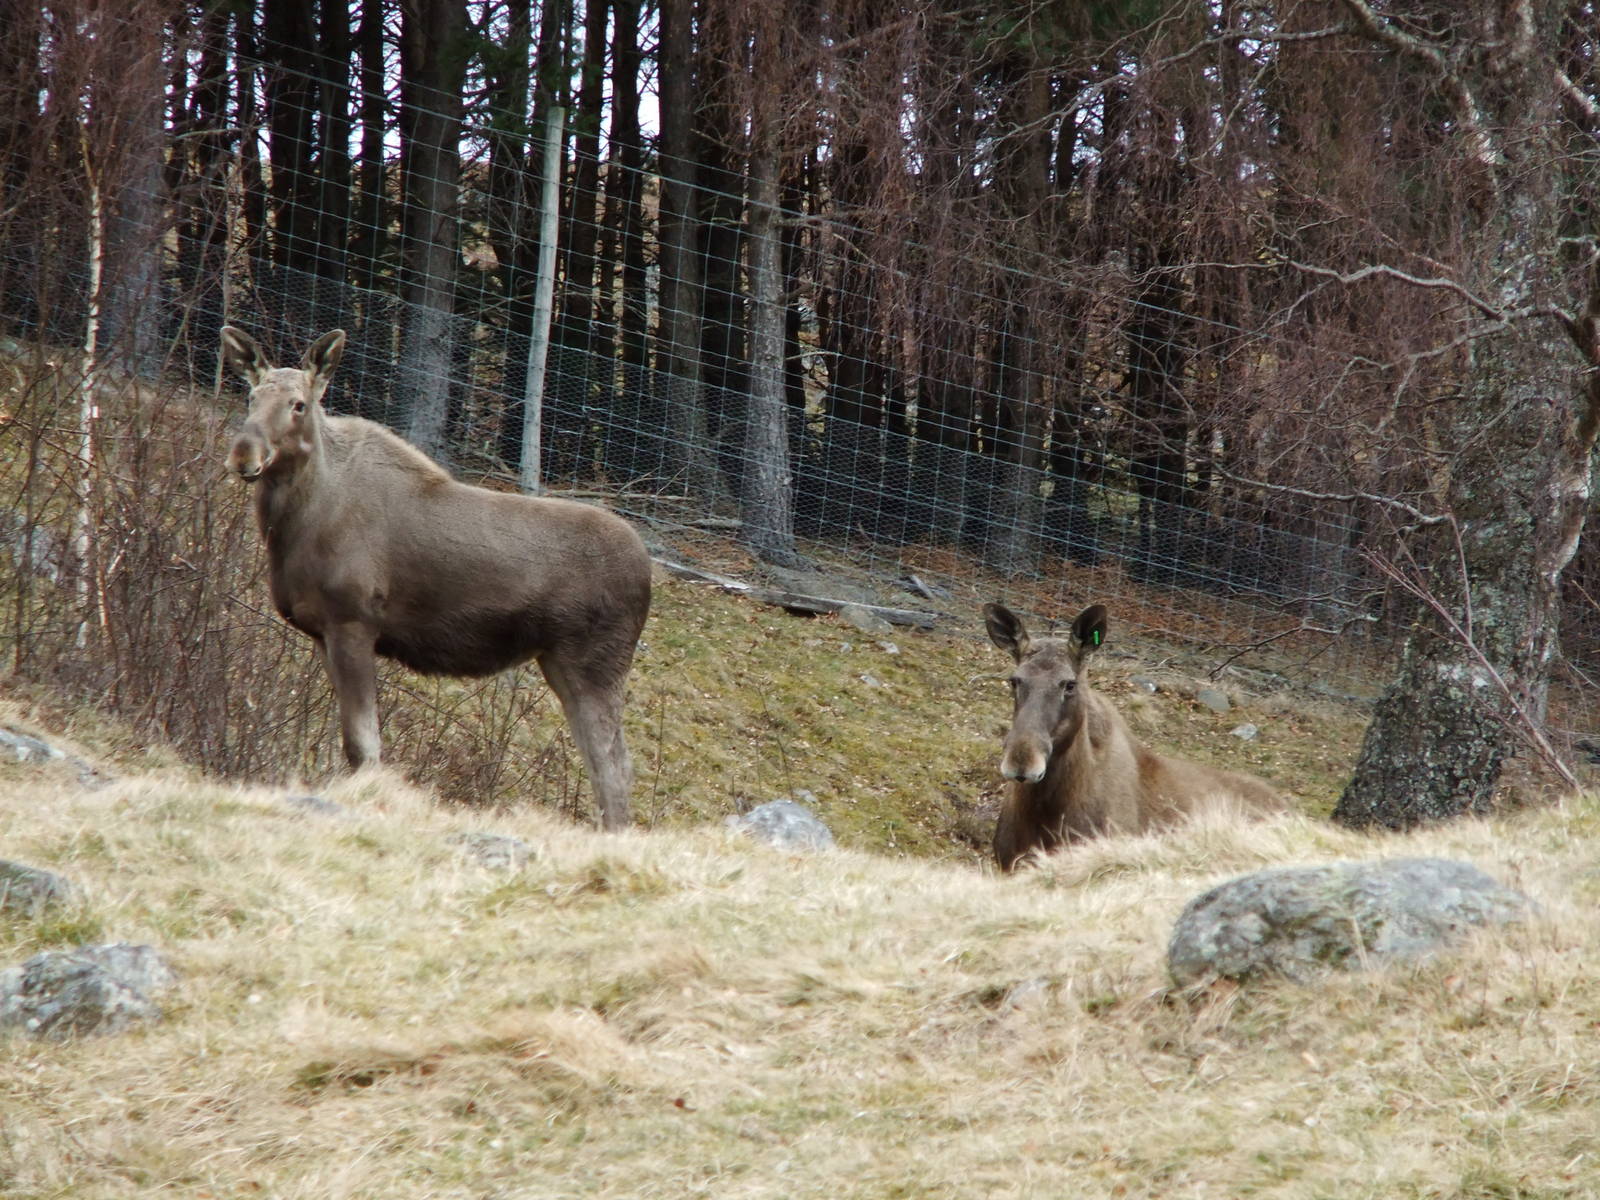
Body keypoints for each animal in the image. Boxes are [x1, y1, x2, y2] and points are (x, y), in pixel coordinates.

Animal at [221, 326, 652, 830]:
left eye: (299, 404)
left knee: (614, 765)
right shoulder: (321, 632)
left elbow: (363, 747)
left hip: (594, 662)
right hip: (561, 660)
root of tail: (648, 572)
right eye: (251, 396)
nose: (244, 455)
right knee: (602, 760)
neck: (294, 526)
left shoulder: (353, 622)